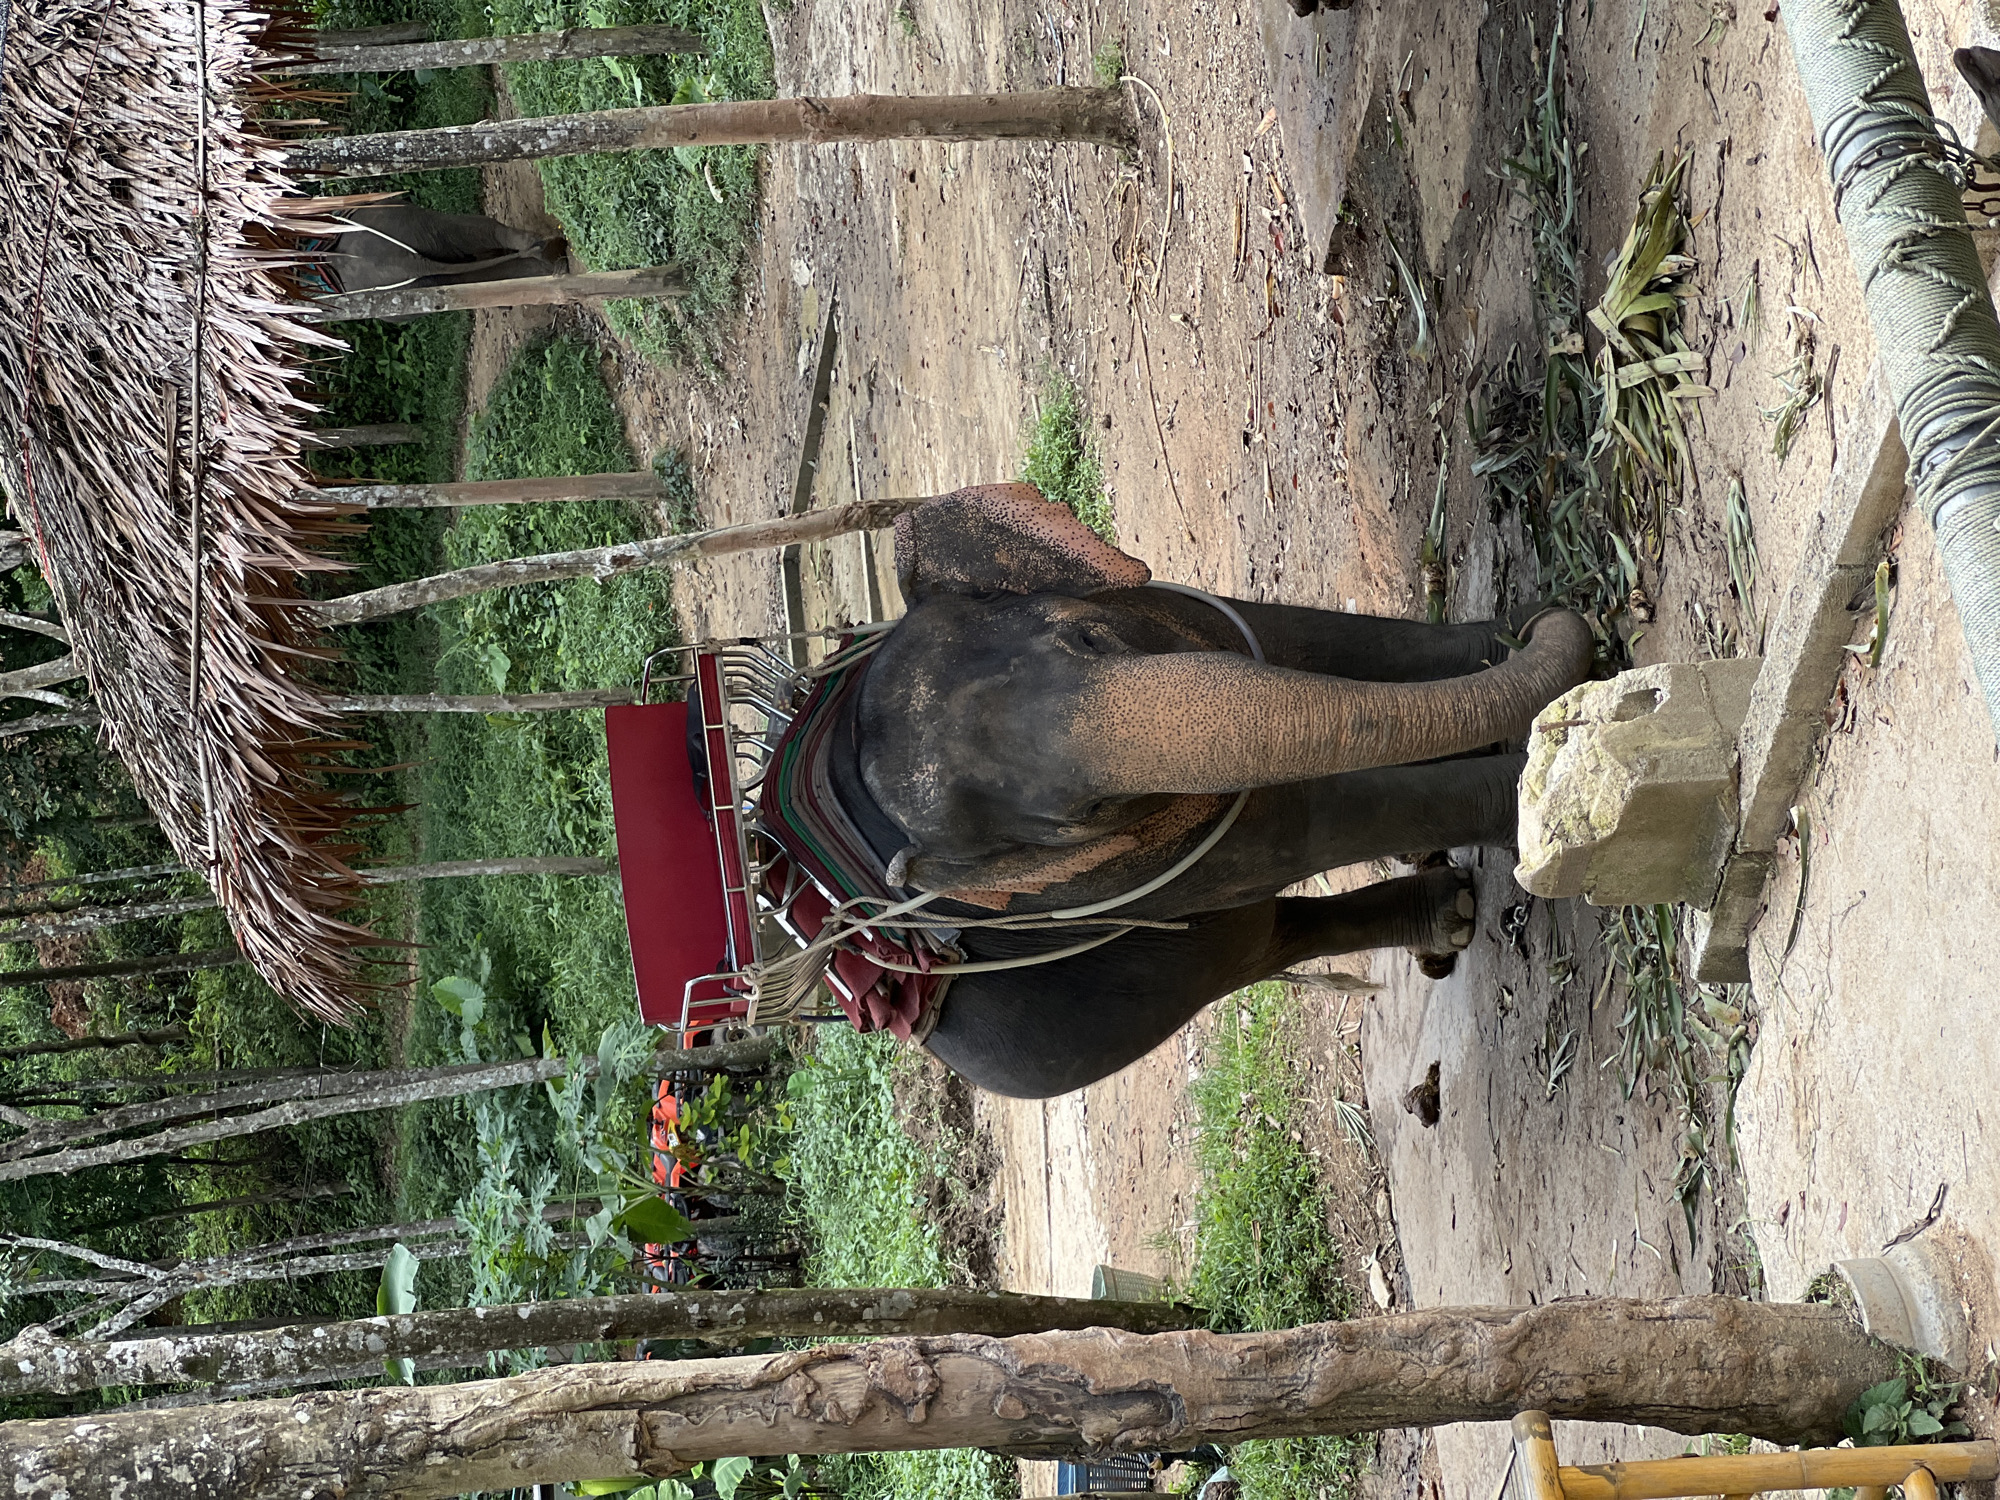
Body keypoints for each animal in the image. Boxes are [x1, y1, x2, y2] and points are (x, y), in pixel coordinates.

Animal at [806, 484, 1595, 1099]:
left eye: (1088, 639)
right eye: (1079, 816)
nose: (1549, 625)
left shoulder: (1168, 607)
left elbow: (1304, 640)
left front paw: (1530, 636)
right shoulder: (1111, 882)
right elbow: (1308, 825)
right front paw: (1540, 796)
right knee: (1254, 945)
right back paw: (1453, 915)